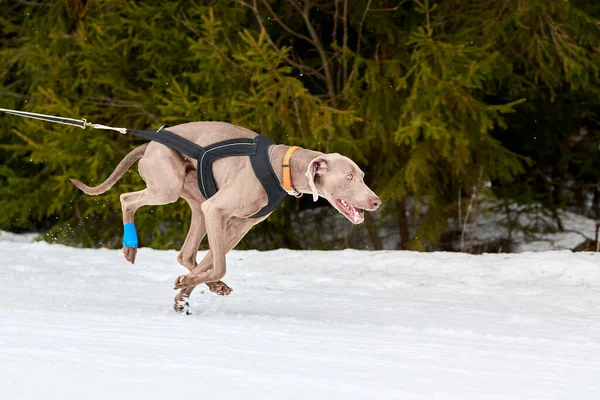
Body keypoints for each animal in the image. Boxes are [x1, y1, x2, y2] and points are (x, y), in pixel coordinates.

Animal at [70, 122, 380, 312]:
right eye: (349, 177)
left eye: (362, 176)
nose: (376, 202)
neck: (281, 166)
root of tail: (150, 145)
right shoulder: (217, 210)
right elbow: (219, 265)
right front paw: (188, 286)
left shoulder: (239, 224)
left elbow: (212, 261)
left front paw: (185, 290)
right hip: (168, 187)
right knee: (127, 199)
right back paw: (130, 247)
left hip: (197, 203)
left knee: (186, 254)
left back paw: (199, 286)